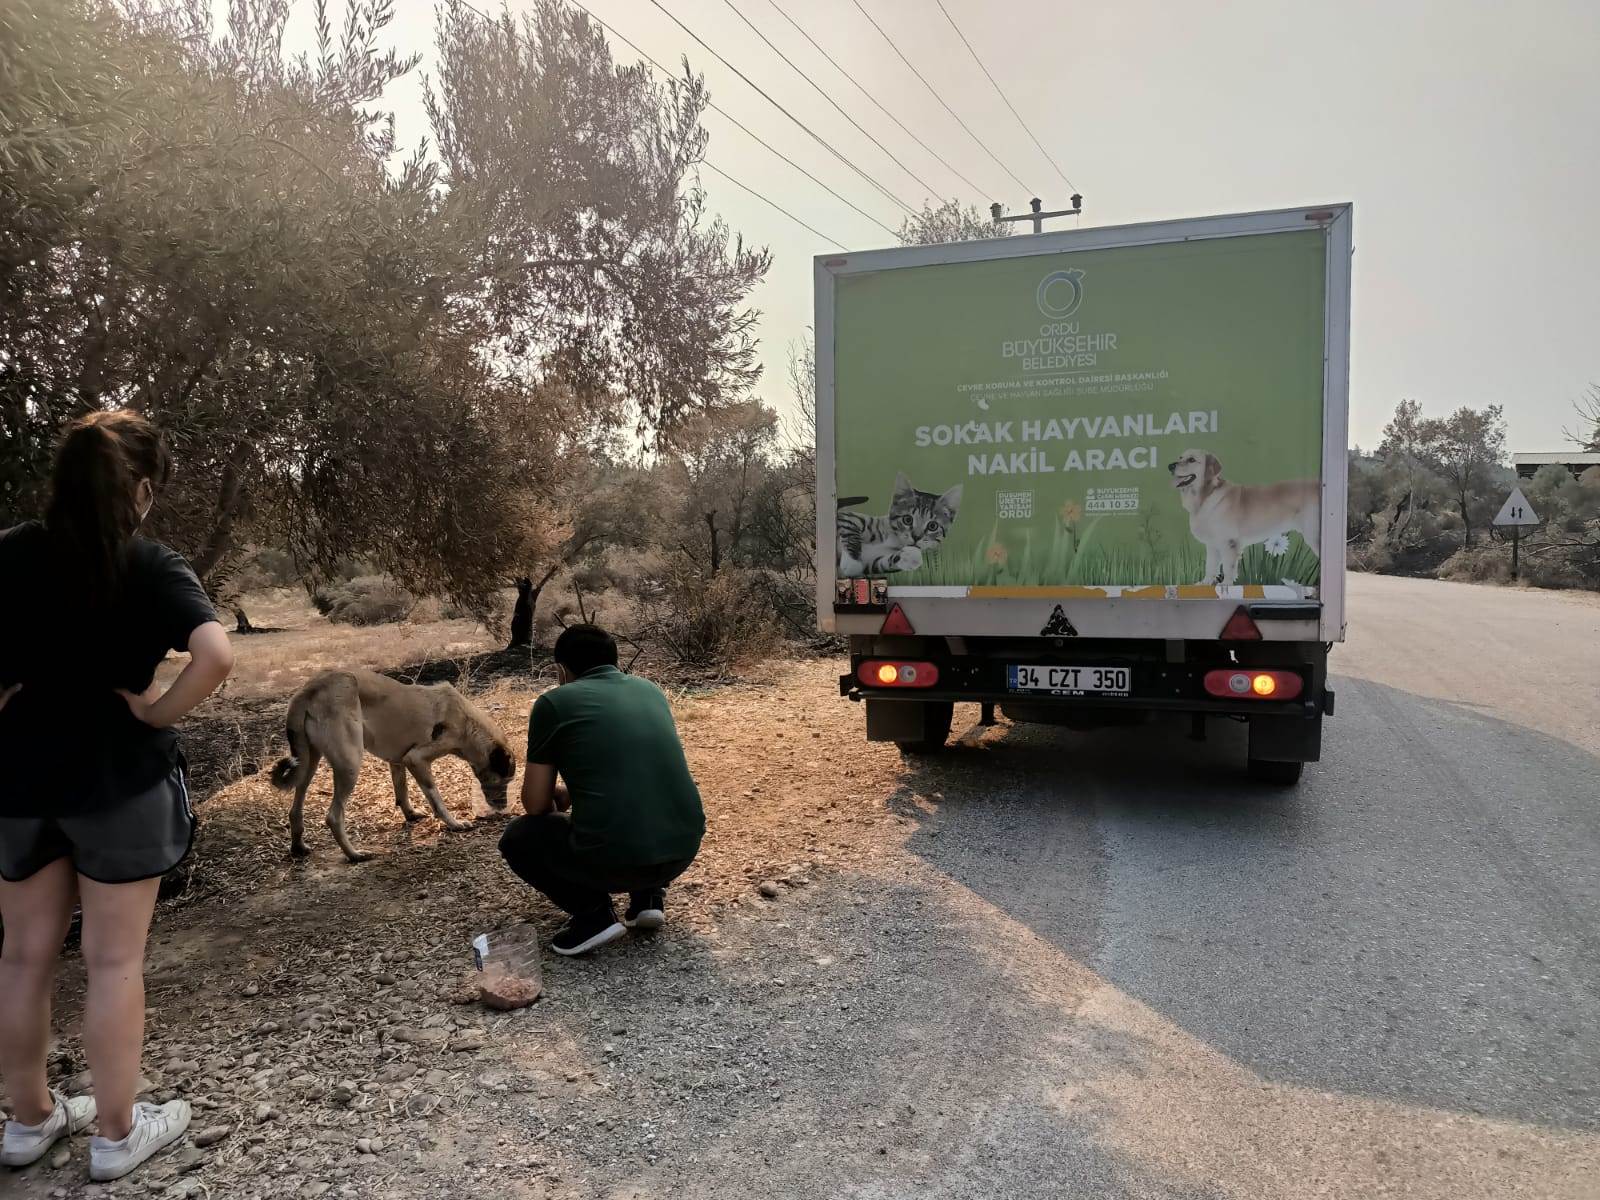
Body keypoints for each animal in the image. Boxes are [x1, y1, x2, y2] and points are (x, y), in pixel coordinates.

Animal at [268, 672, 515, 857]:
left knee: (295, 810)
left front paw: (411, 815)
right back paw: (354, 855)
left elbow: (401, 791)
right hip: (349, 764)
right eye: (504, 780)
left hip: (308, 763)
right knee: (333, 816)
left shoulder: (398, 761)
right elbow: (436, 798)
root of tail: (308, 690)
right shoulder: (417, 759)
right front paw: (454, 824)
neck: (467, 724)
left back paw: (298, 847)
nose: (503, 808)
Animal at [1171, 448, 1318, 588]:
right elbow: (1210, 566)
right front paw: (1205, 583)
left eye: (1191, 459)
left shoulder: (1229, 542)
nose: (1170, 466)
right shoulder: (1212, 544)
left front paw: (1225, 584)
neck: (1205, 495)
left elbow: (1228, 567)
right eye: (1180, 457)